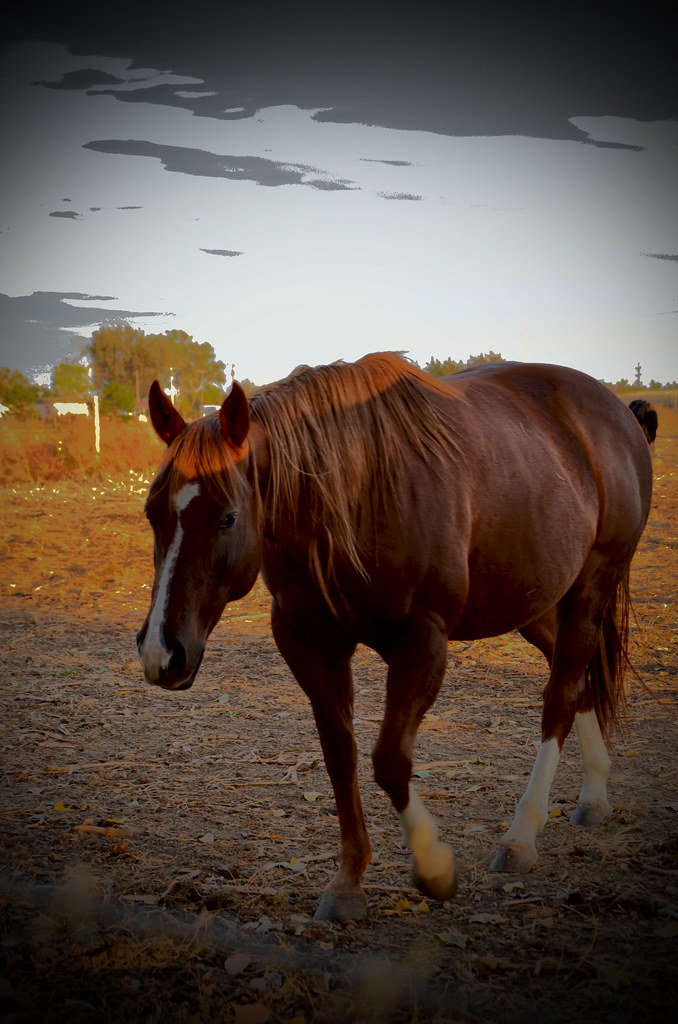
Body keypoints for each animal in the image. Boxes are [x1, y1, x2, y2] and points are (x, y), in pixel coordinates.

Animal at [137, 353, 653, 921]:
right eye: (152, 511)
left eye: (227, 517)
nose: (162, 652)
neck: (354, 492)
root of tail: (617, 411)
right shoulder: (308, 642)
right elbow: (340, 754)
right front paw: (348, 881)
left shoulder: (422, 641)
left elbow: (389, 760)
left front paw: (434, 867)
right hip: (534, 601)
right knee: (576, 680)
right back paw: (594, 795)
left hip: (591, 585)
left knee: (560, 695)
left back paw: (521, 836)